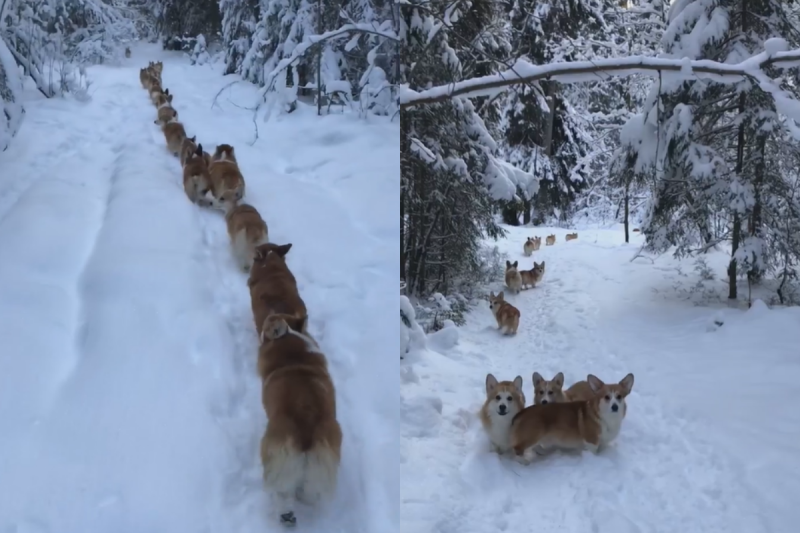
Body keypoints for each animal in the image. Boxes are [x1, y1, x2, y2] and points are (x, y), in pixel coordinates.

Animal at [260, 314, 340, 524]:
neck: (294, 357)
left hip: (276, 456)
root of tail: (306, 433)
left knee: (282, 494)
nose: (268, 317)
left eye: (267, 324)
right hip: (320, 465)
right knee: (308, 493)